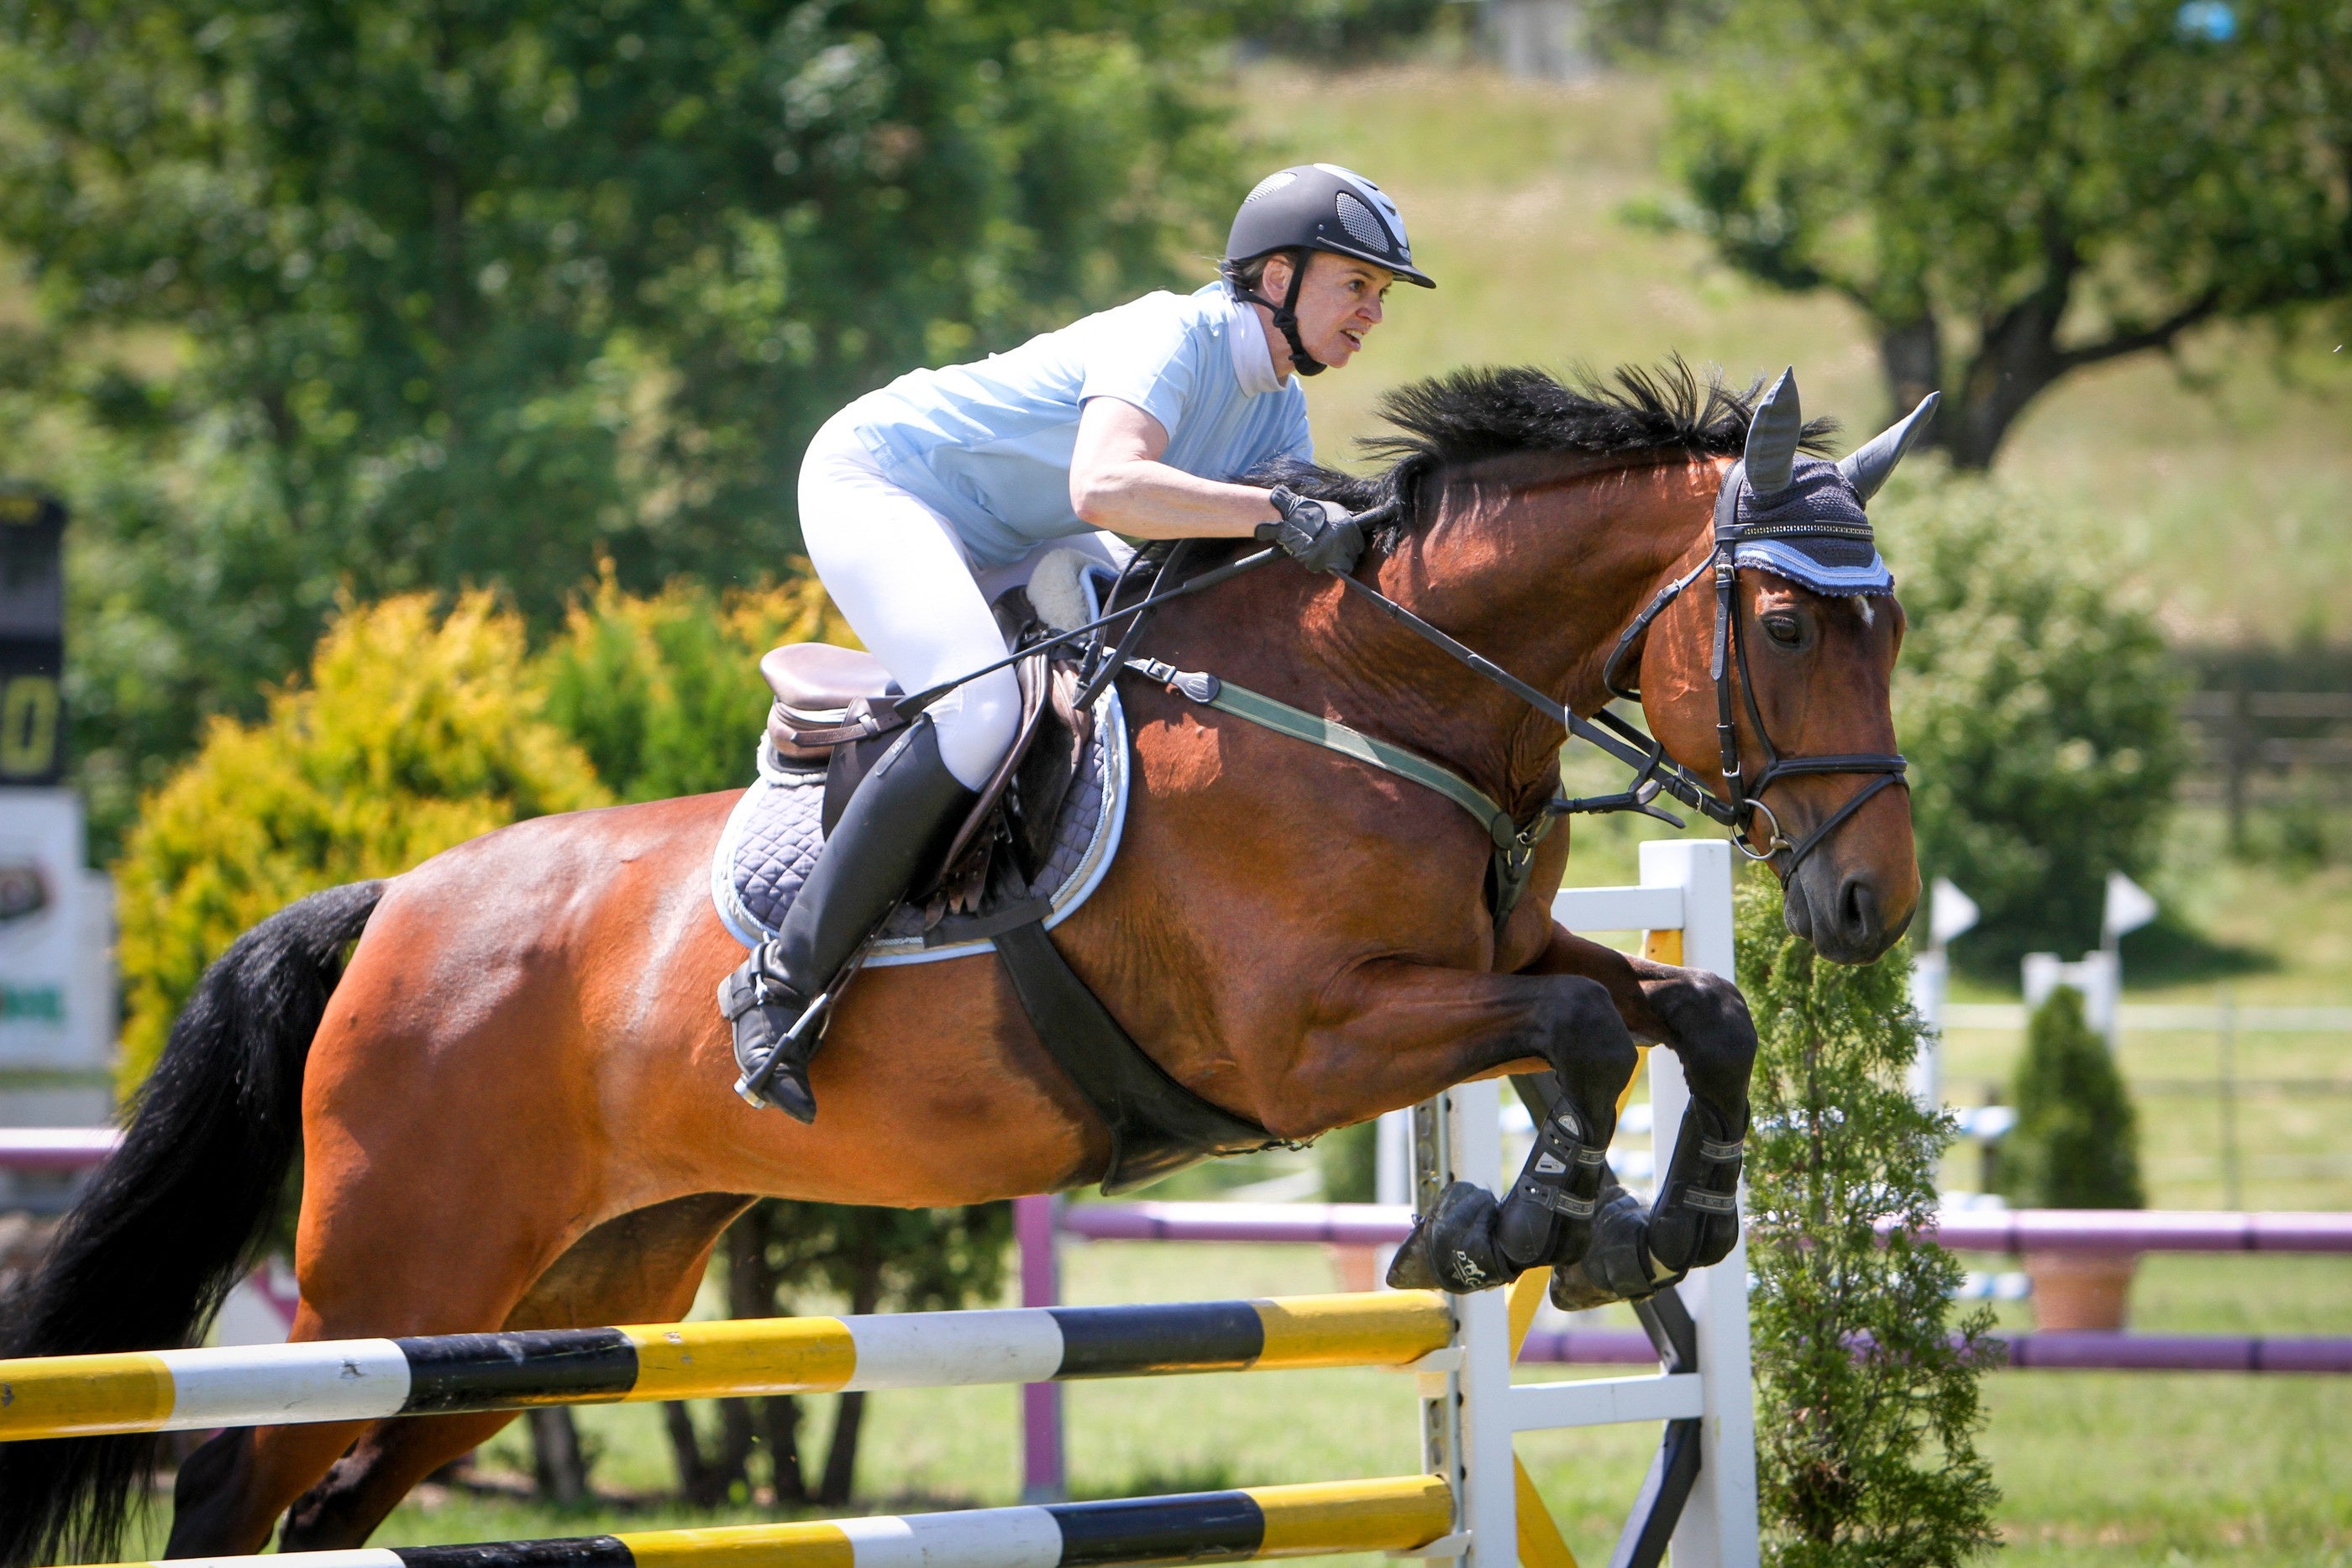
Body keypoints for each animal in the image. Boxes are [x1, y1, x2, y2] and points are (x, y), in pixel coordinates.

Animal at [0, 362, 1909, 1560]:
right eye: (1787, 622)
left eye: (1889, 626)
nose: (1868, 906)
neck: (1386, 695)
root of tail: (393, 900)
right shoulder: (1309, 1041)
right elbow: (1578, 1028)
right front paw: (1526, 1225)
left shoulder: (1480, 964)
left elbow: (1685, 1007)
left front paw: (1650, 1221)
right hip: (396, 1274)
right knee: (234, 1481)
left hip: (564, 1299)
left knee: (343, 1504)